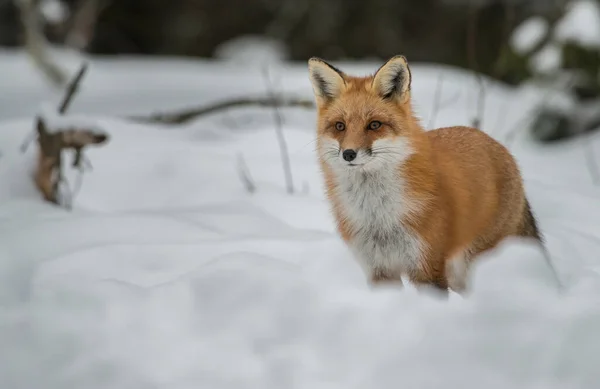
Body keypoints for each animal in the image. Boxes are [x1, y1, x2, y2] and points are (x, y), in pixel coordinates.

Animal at [308, 53, 540, 292]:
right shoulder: (379, 269)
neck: (379, 217)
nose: (349, 154)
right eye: (340, 126)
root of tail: (498, 145)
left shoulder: (427, 266)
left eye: (374, 125)